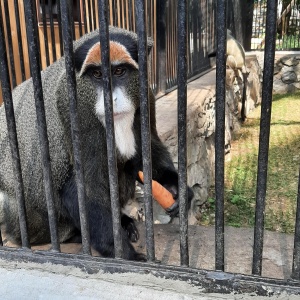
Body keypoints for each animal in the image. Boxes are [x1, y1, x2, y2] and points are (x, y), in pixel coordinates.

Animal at [0, 26, 193, 260]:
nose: (112, 100)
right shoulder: (75, 112)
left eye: (119, 71)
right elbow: (83, 189)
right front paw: (125, 255)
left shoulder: (146, 96)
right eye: (97, 74)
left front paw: (176, 188)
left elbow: (148, 151)